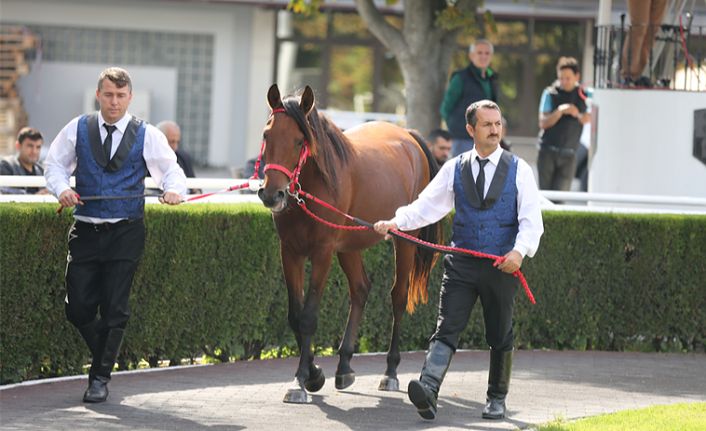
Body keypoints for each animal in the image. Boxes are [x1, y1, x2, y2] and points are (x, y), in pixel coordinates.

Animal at [256, 85, 438, 404]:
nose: (271, 194)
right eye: (267, 134)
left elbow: (308, 316)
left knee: (398, 297)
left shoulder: (323, 252)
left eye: (300, 140)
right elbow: (294, 315)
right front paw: (314, 373)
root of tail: (409, 137)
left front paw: (301, 381)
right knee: (361, 289)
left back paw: (390, 372)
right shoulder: (289, 251)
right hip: (350, 244)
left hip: (404, 240)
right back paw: (344, 365)